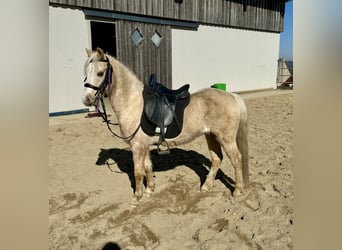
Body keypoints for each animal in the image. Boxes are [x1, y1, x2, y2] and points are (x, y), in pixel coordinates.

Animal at [82, 47, 248, 205]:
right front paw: (149, 190)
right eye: (85, 73)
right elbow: (148, 167)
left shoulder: (137, 146)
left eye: (100, 73)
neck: (133, 103)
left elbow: (138, 172)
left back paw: (237, 190)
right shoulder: (144, 145)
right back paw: (206, 186)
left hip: (225, 139)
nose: (86, 99)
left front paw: (137, 198)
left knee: (236, 159)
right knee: (216, 159)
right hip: (211, 136)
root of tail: (232, 96)